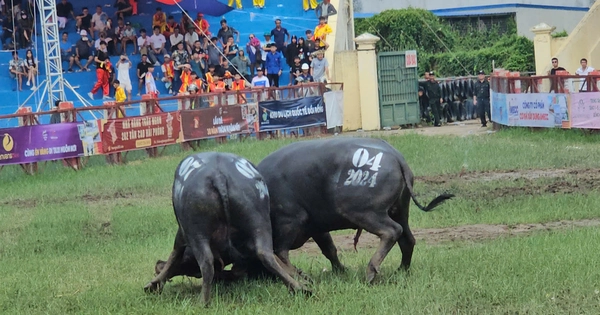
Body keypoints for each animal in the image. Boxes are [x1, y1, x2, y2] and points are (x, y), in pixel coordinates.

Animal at [143, 153, 308, 306]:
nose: (157, 264)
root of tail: (218, 176)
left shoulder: (182, 233)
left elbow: (175, 254)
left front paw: (154, 283)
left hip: (196, 231)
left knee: (206, 263)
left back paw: (203, 301)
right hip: (259, 220)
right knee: (266, 253)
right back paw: (299, 287)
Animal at [258, 138, 454, 284]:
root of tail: (397, 158)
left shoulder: (290, 221)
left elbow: (280, 253)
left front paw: (302, 276)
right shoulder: (317, 227)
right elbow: (329, 249)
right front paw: (341, 270)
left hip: (363, 212)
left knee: (392, 231)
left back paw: (371, 272)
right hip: (400, 210)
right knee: (408, 239)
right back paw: (401, 271)